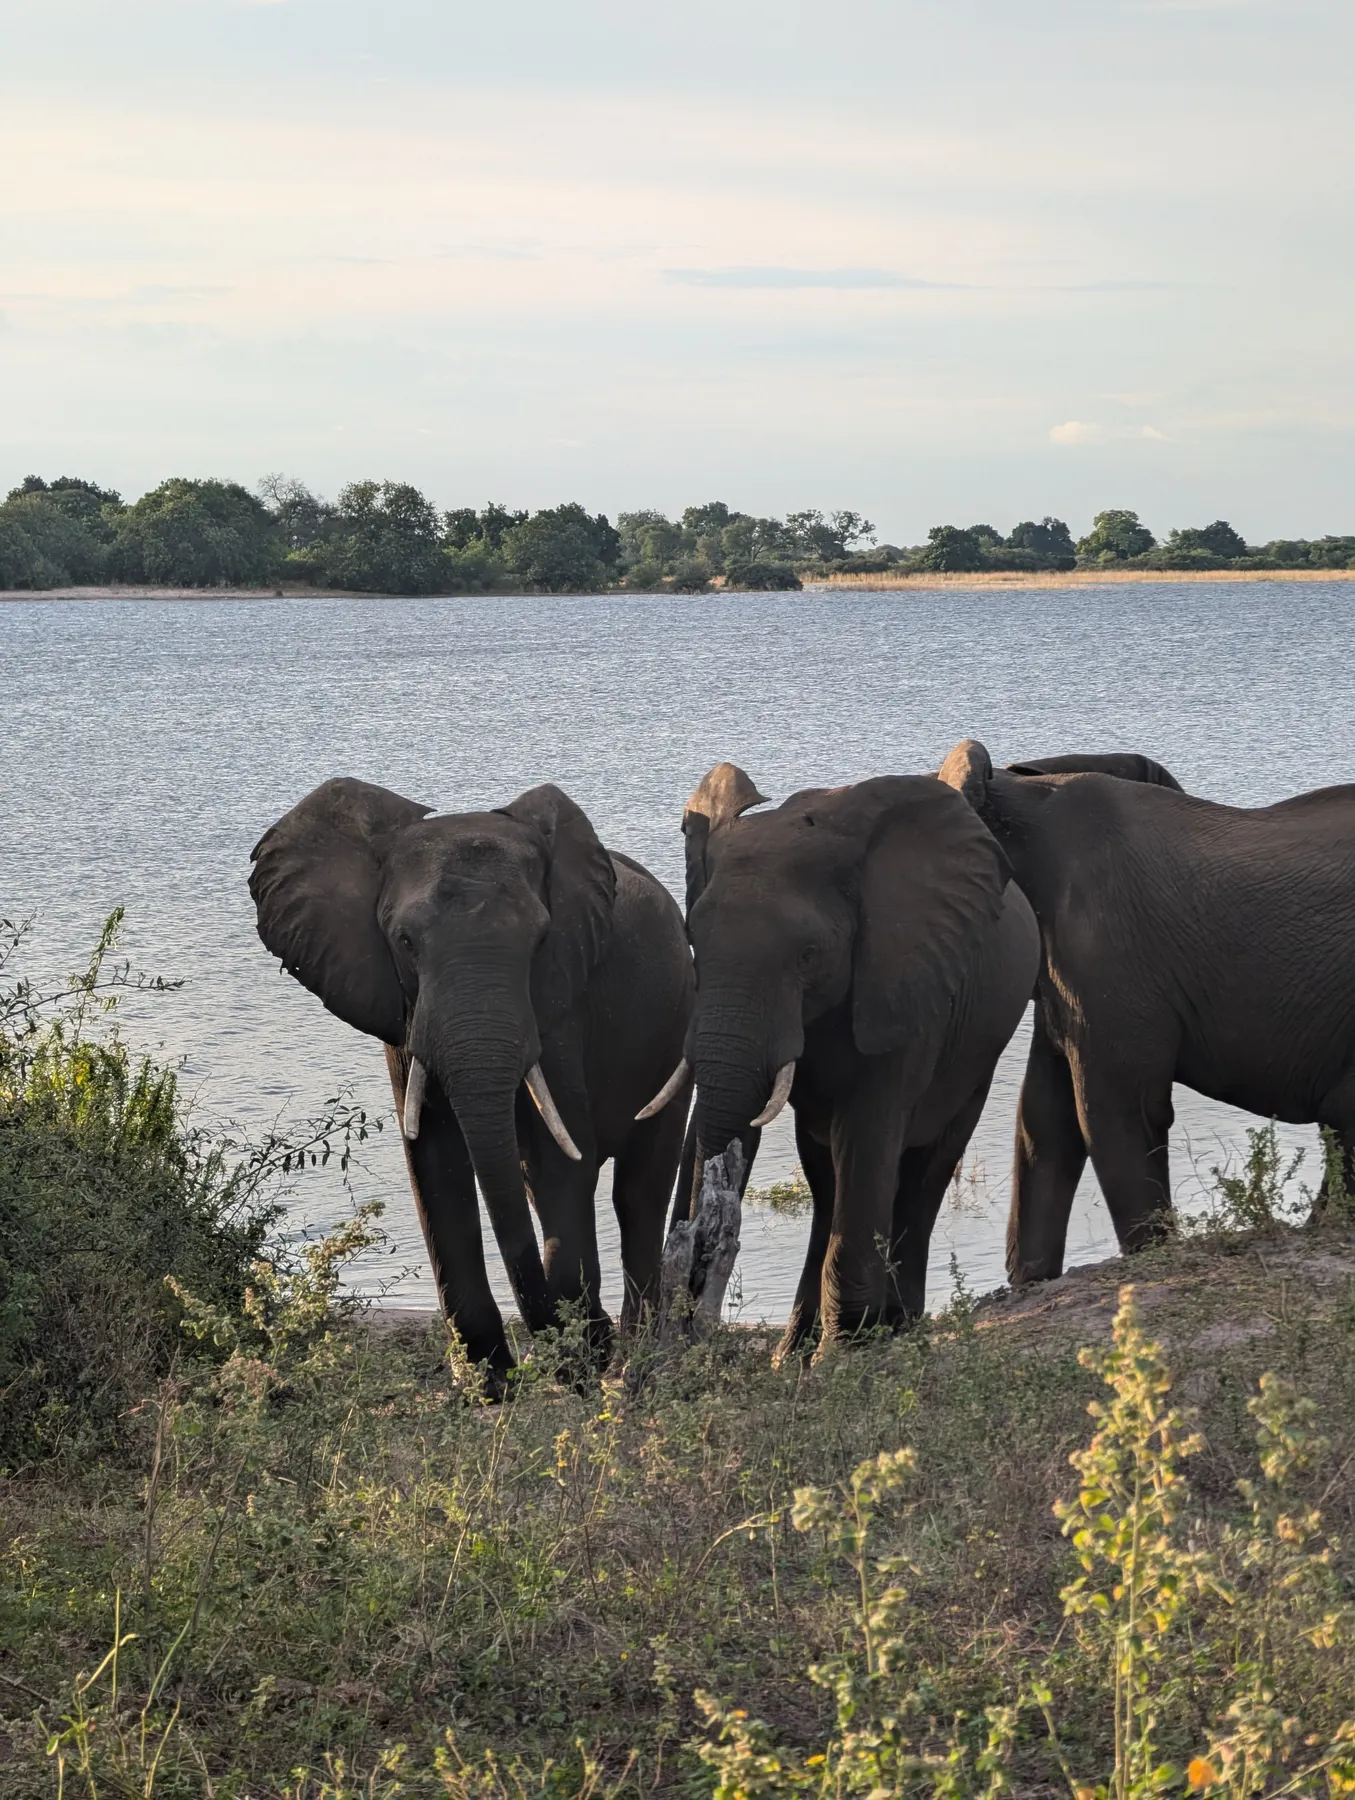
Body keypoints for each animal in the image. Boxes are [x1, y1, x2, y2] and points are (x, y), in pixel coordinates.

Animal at [249, 777, 694, 1383]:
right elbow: (435, 1161)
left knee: (638, 1189)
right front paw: (490, 1386)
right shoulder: (403, 1012)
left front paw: (578, 1364)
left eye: (540, 940)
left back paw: (641, 1358)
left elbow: (560, 1159)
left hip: (680, 1021)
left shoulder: (559, 1003)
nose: (588, 1339)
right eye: (405, 942)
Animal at [638, 762, 1040, 1355]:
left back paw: (894, 1326)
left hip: (980, 1048)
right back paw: (793, 1350)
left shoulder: (903, 981)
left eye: (808, 955)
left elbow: (869, 1128)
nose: (690, 1292)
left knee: (924, 1169)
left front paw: (848, 1349)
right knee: (826, 1176)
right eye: (692, 940)